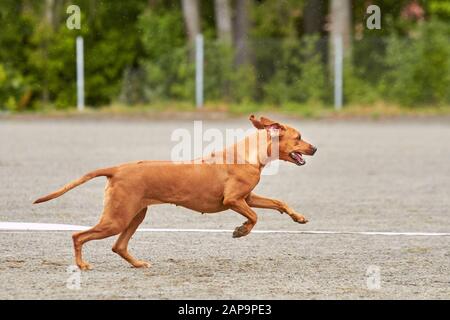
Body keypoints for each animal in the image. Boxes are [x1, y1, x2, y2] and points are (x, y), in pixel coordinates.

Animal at [33, 115, 316, 270]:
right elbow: (255, 218)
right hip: (117, 218)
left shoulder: (248, 198)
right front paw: (241, 231)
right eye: (299, 137)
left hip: (135, 215)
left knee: (118, 246)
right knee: (78, 236)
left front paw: (298, 217)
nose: (315, 148)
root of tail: (117, 169)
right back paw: (82, 265)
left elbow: (279, 202)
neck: (249, 153)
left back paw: (138, 264)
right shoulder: (234, 200)